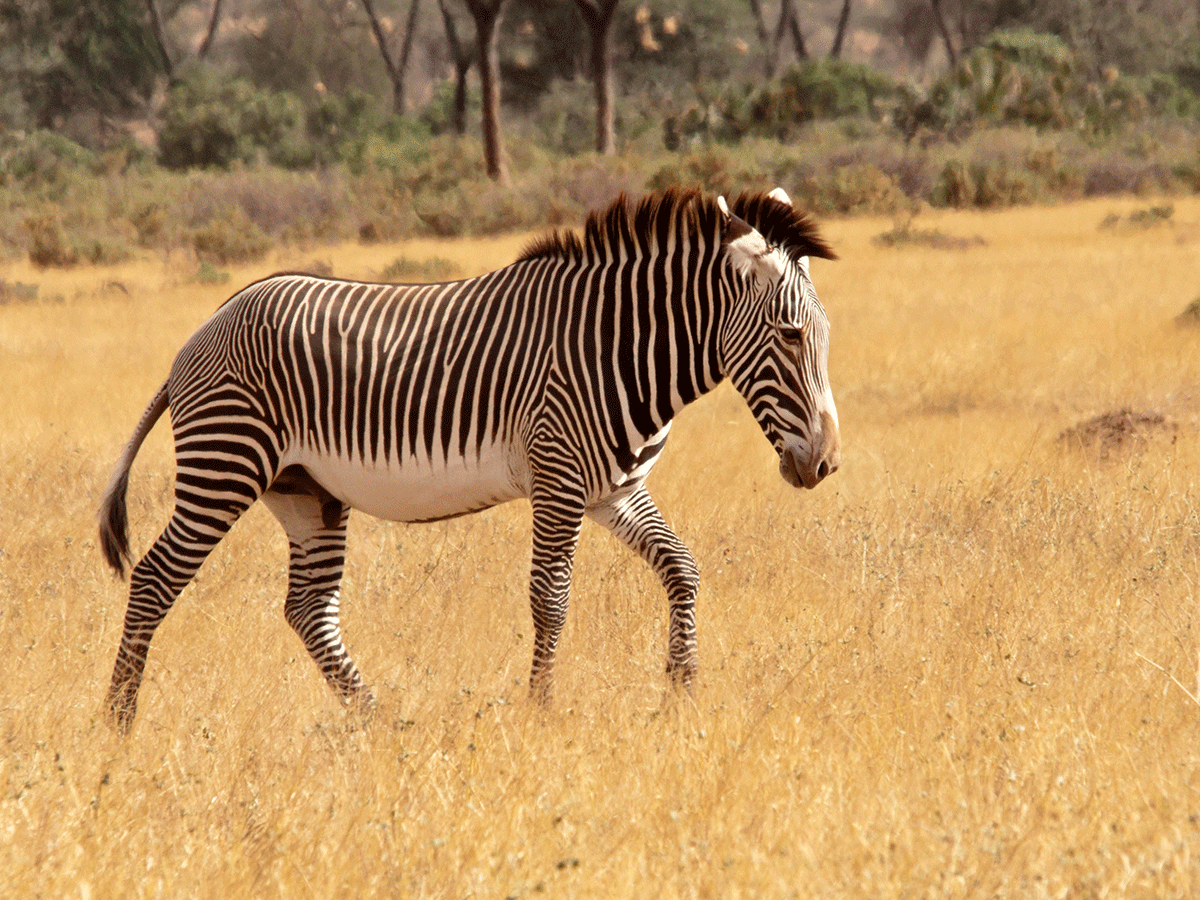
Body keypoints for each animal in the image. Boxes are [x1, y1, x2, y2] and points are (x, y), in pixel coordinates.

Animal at [98, 184, 840, 734]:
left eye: (825, 334)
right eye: (789, 334)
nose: (827, 464)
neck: (617, 346)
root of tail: (203, 329)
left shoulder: (614, 489)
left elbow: (682, 569)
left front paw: (681, 694)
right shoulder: (559, 477)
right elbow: (551, 598)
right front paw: (542, 712)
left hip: (306, 491)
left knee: (309, 608)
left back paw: (379, 721)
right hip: (226, 464)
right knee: (156, 578)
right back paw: (118, 723)